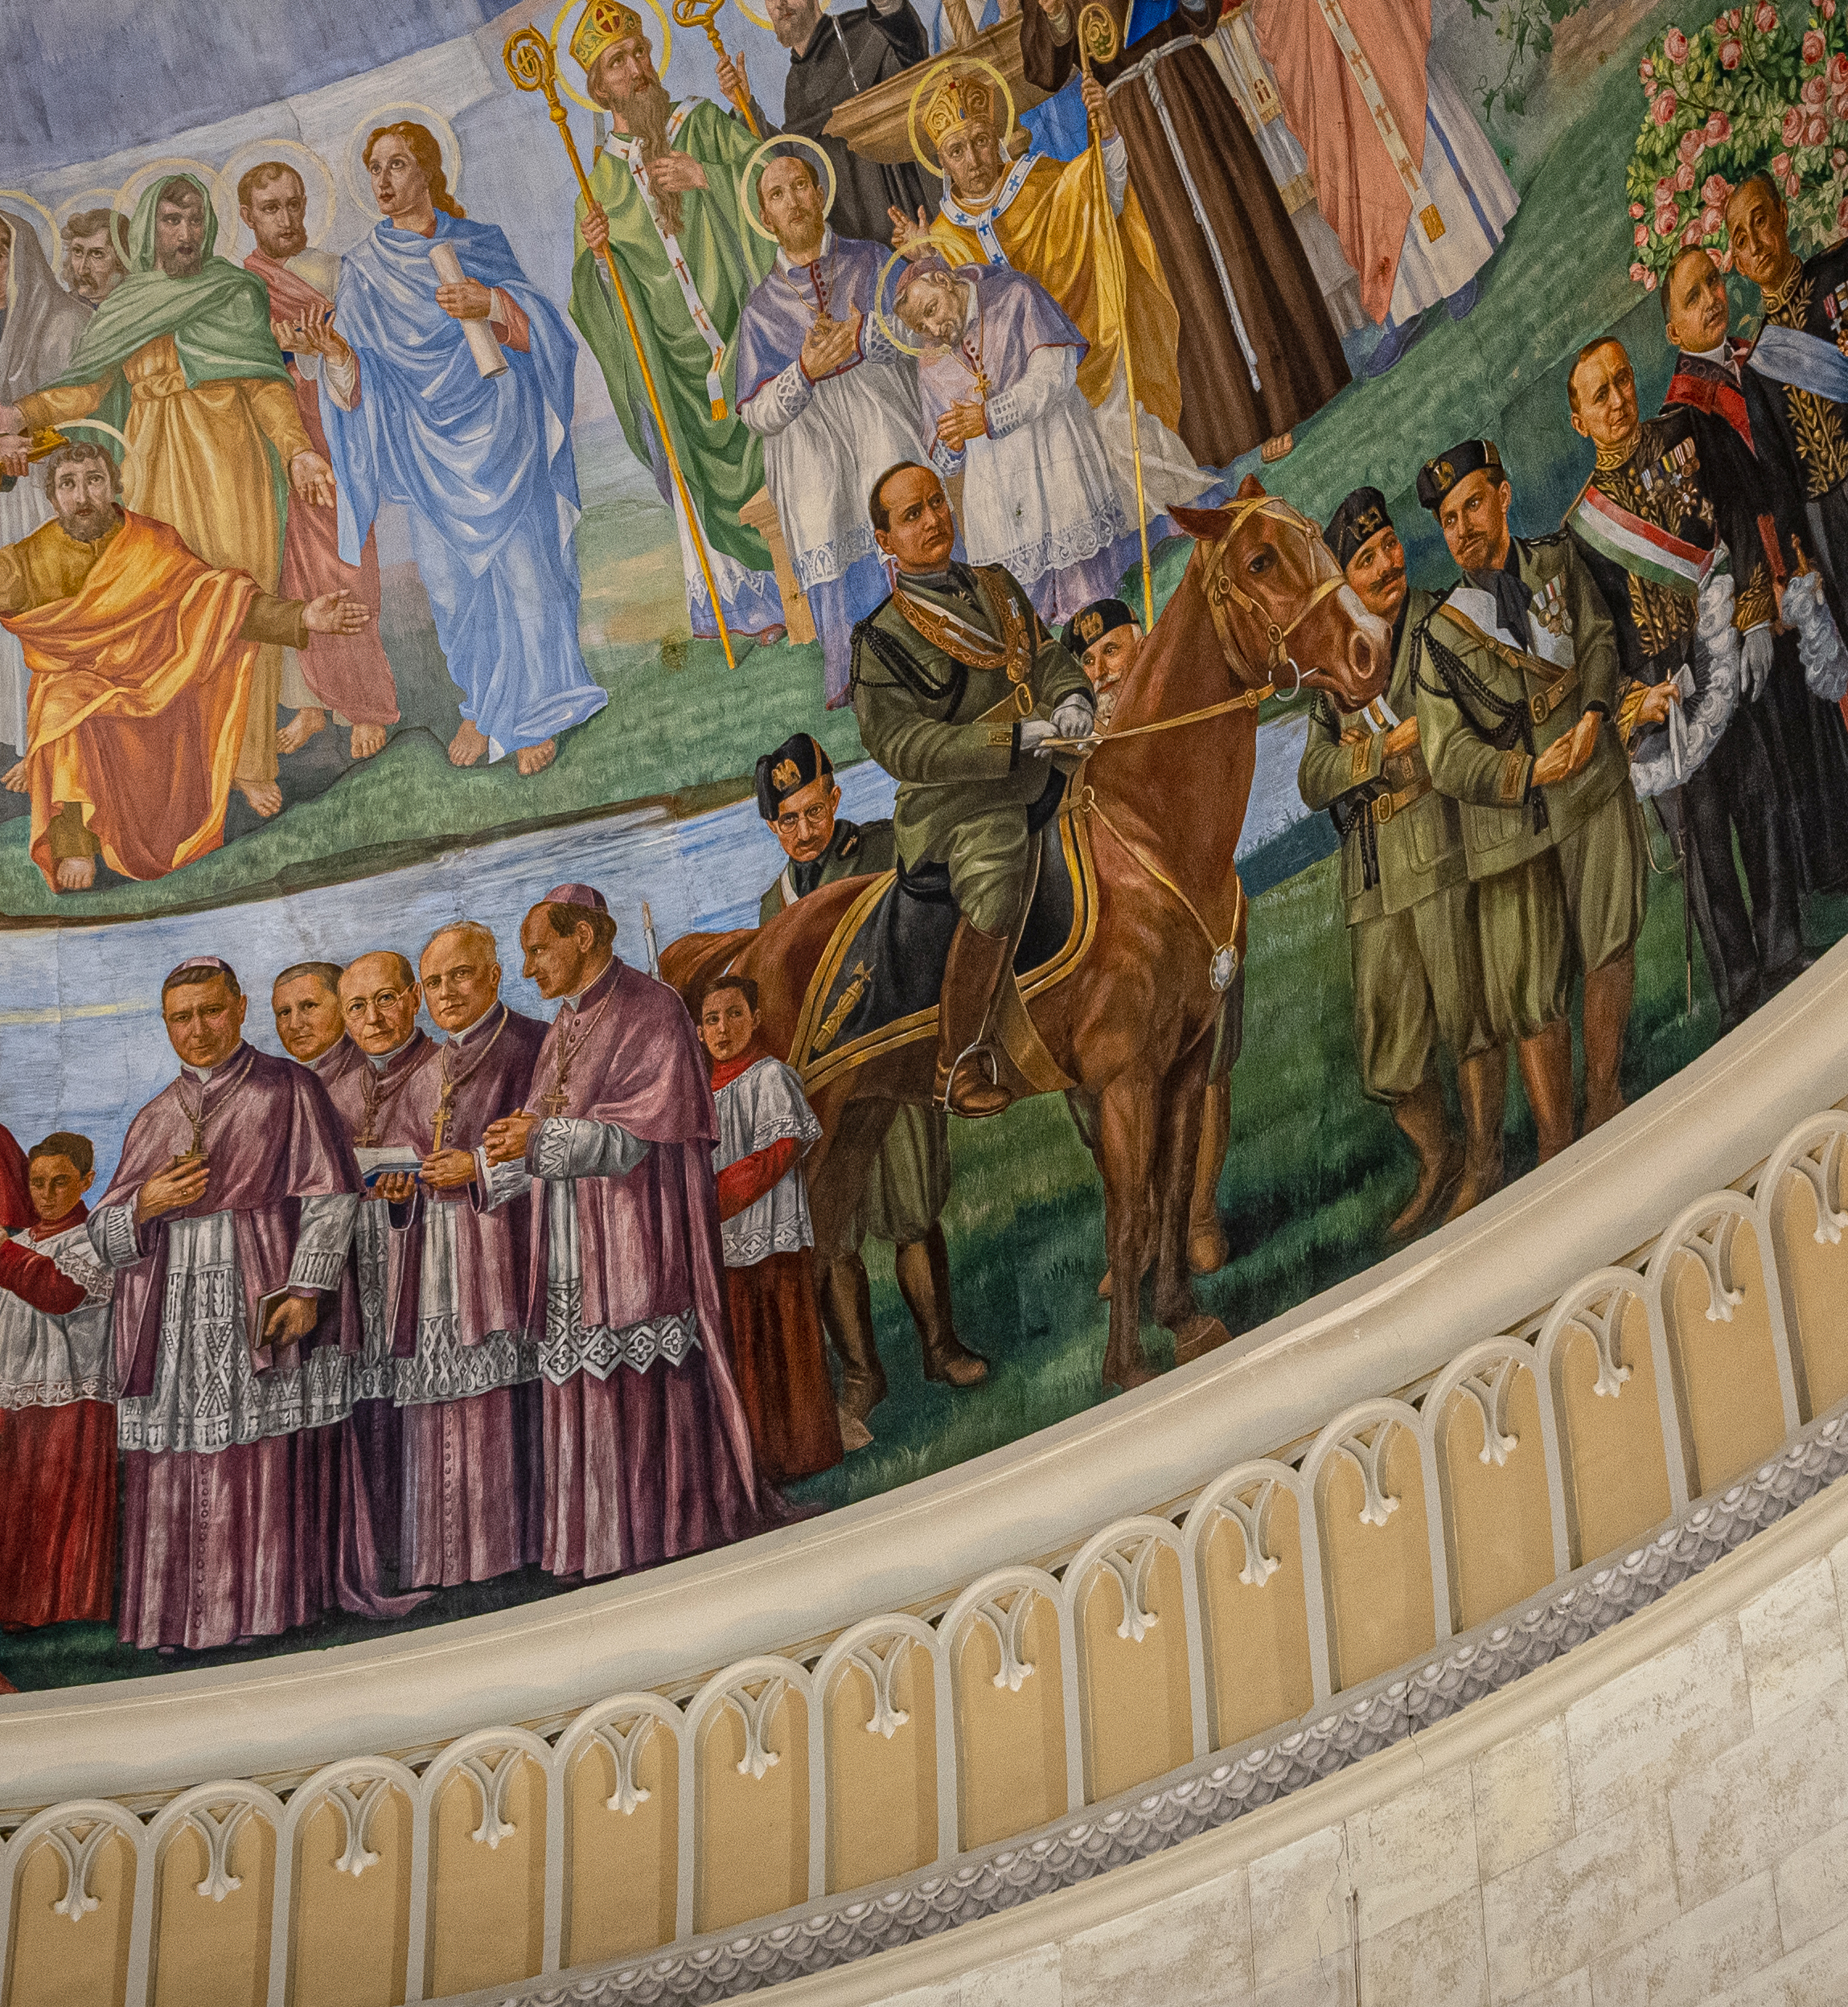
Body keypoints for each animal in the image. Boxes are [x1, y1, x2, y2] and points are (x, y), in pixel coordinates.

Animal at [662, 483, 1380, 1397]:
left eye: (1311, 537)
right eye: (1260, 560)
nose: (1370, 649)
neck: (1150, 835)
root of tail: (742, 958)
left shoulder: (1184, 1064)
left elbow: (1171, 1191)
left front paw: (1186, 1320)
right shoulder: (1122, 1081)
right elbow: (1127, 1214)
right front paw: (1127, 1367)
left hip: (853, 1124)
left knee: (822, 1250)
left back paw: (855, 1408)